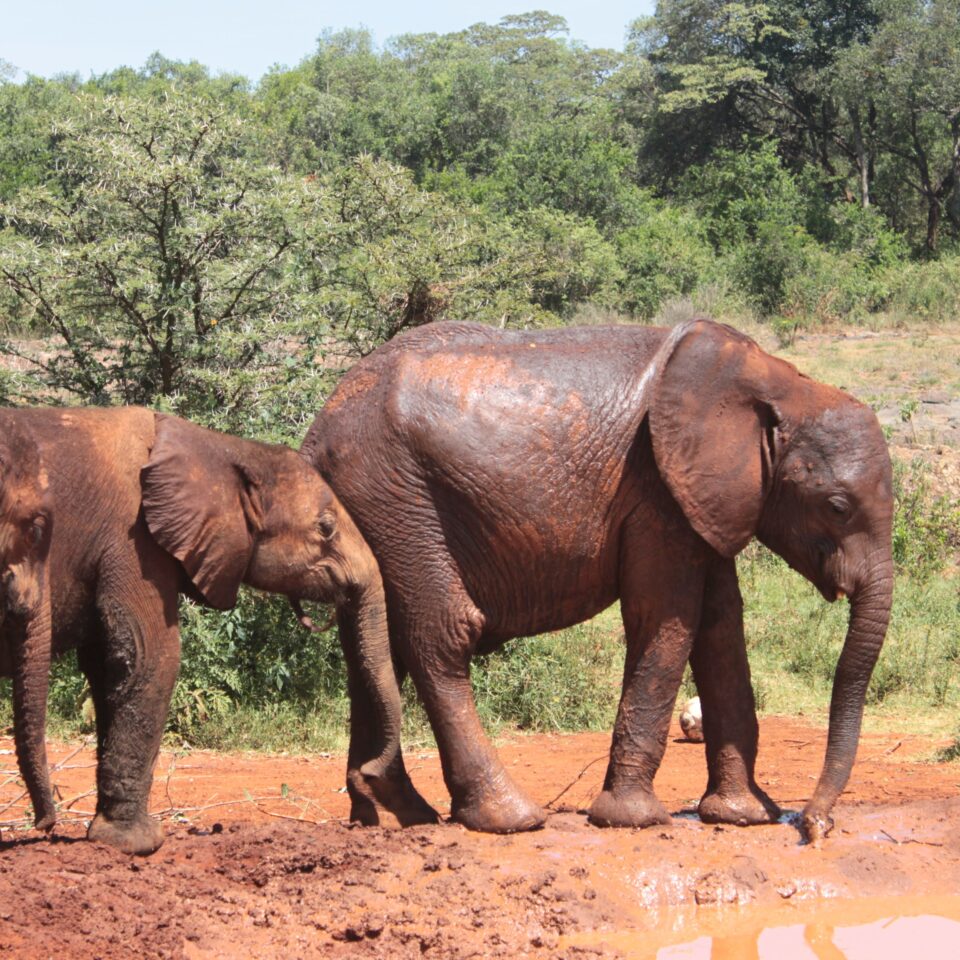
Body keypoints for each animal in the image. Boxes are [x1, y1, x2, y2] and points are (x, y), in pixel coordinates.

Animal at [0, 404, 428, 856]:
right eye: (326, 528)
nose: (369, 781)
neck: (219, 449)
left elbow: (107, 667)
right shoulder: (133, 541)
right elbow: (149, 655)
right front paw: (136, 843)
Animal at [304, 316, 896, 840]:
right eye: (838, 507)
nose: (815, 826)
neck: (779, 382)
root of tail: (318, 426)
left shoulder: (707, 498)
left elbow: (720, 626)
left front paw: (740, 817)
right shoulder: (657, 491)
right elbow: (664, 618)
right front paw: (633, 819)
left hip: (374, 509)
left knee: (372, 643)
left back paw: (392, 809)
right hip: (397, 499)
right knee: (440, 636)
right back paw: (508, 817)